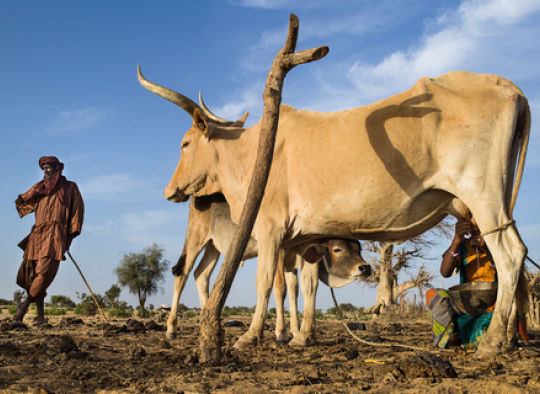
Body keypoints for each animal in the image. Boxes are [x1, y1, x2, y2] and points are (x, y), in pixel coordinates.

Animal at [169, 193, 372, 344]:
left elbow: (295, 291)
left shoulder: (294, 261)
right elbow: (280, 289)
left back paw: (209, 319)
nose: (365, 267)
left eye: (359, 248)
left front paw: (296, 331)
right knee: (182, 275)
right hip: (196, 239)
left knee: (201, 275)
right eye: (338, 248)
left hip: (213, 247)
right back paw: (171, 328)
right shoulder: (279, 253)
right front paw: (281, 333)